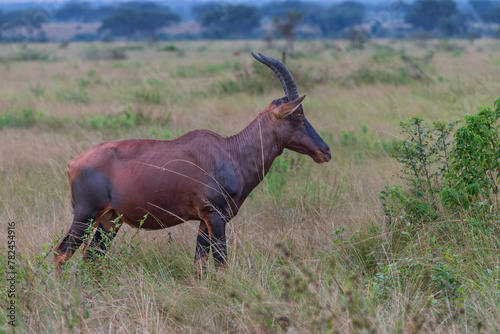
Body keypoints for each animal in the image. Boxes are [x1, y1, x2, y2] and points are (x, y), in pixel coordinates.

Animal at [54, 51, 332, 272]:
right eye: (298, 117)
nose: (325, 151)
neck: (230, 152)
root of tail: (73, 163)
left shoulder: (203, 221)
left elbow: (199, 263)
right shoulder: (216, 216)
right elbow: (221, 263)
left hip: (109, 220)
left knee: (92, 256)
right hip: (86, 215)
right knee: (62, 252)